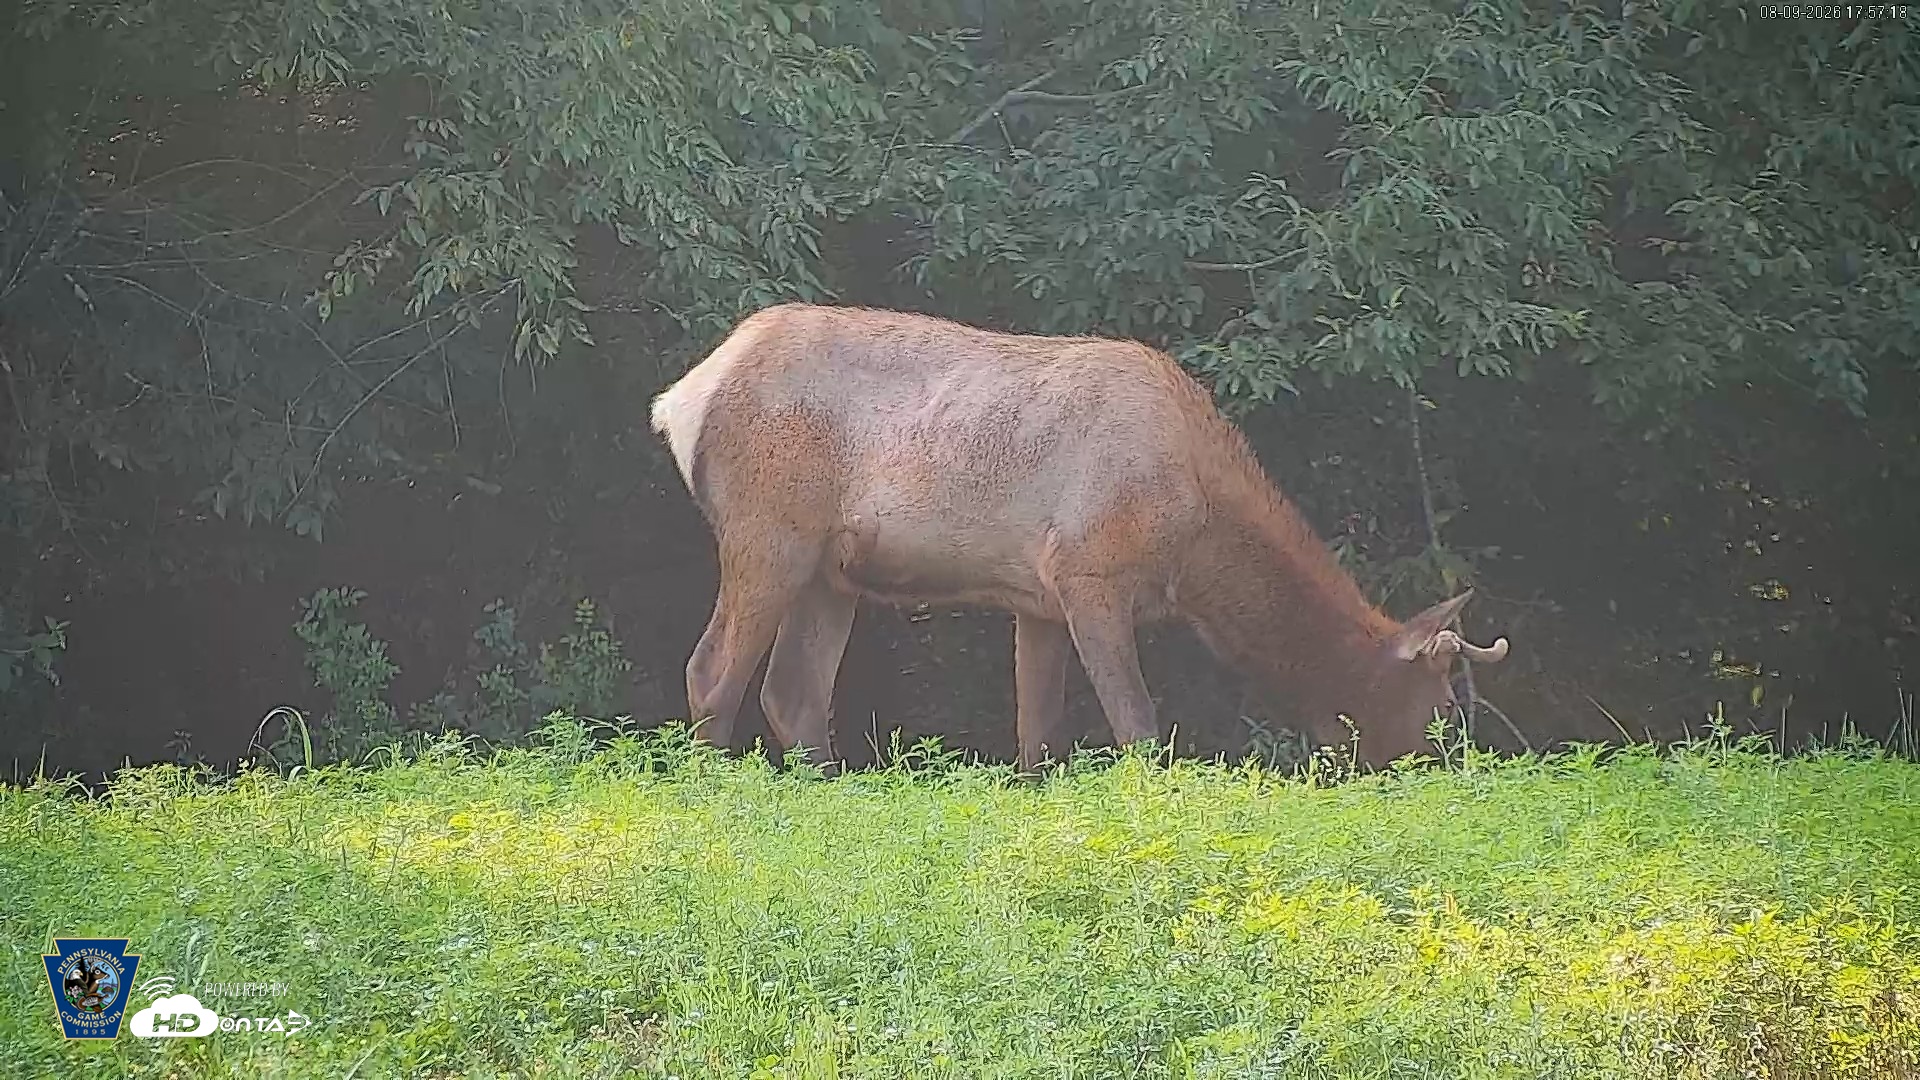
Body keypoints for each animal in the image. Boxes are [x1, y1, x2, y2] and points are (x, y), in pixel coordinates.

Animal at [649, 303, 1511, 773]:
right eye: (1443, 707)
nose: (1447, 768)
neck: (1197, 545)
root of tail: (680, 398)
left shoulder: (1036, 600)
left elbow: (1038, 735)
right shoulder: (1089, 574)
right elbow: (1138, 726)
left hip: (833, 571)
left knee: (794, 692)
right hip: (770, 531)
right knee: (711, 669)